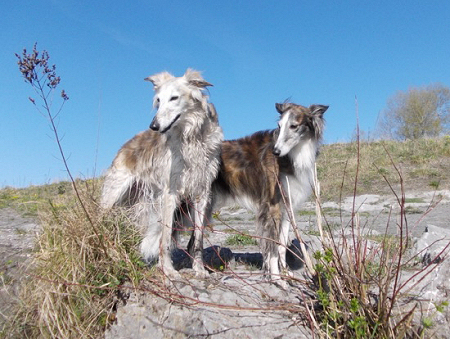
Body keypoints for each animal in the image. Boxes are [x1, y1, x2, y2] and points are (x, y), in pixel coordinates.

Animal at [100, 69, 223, 278]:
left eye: (174, 98)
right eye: (158, 100)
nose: (154, 126)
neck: (191, 137)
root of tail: (124, 146)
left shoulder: (202, 193)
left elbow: (198, 239)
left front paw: (199, 269)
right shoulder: (170, 193)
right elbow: (164, 239)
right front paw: (168, 270)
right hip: (113, 196)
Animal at [211, 101, 326, 286]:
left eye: (293, 126)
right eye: (279, 125)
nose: (275, 151)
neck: (292, 156)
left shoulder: (287, 208)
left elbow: (281, 245)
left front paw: (286, 273)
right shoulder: (272, 207)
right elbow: (272, 247)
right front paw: (277, 278)